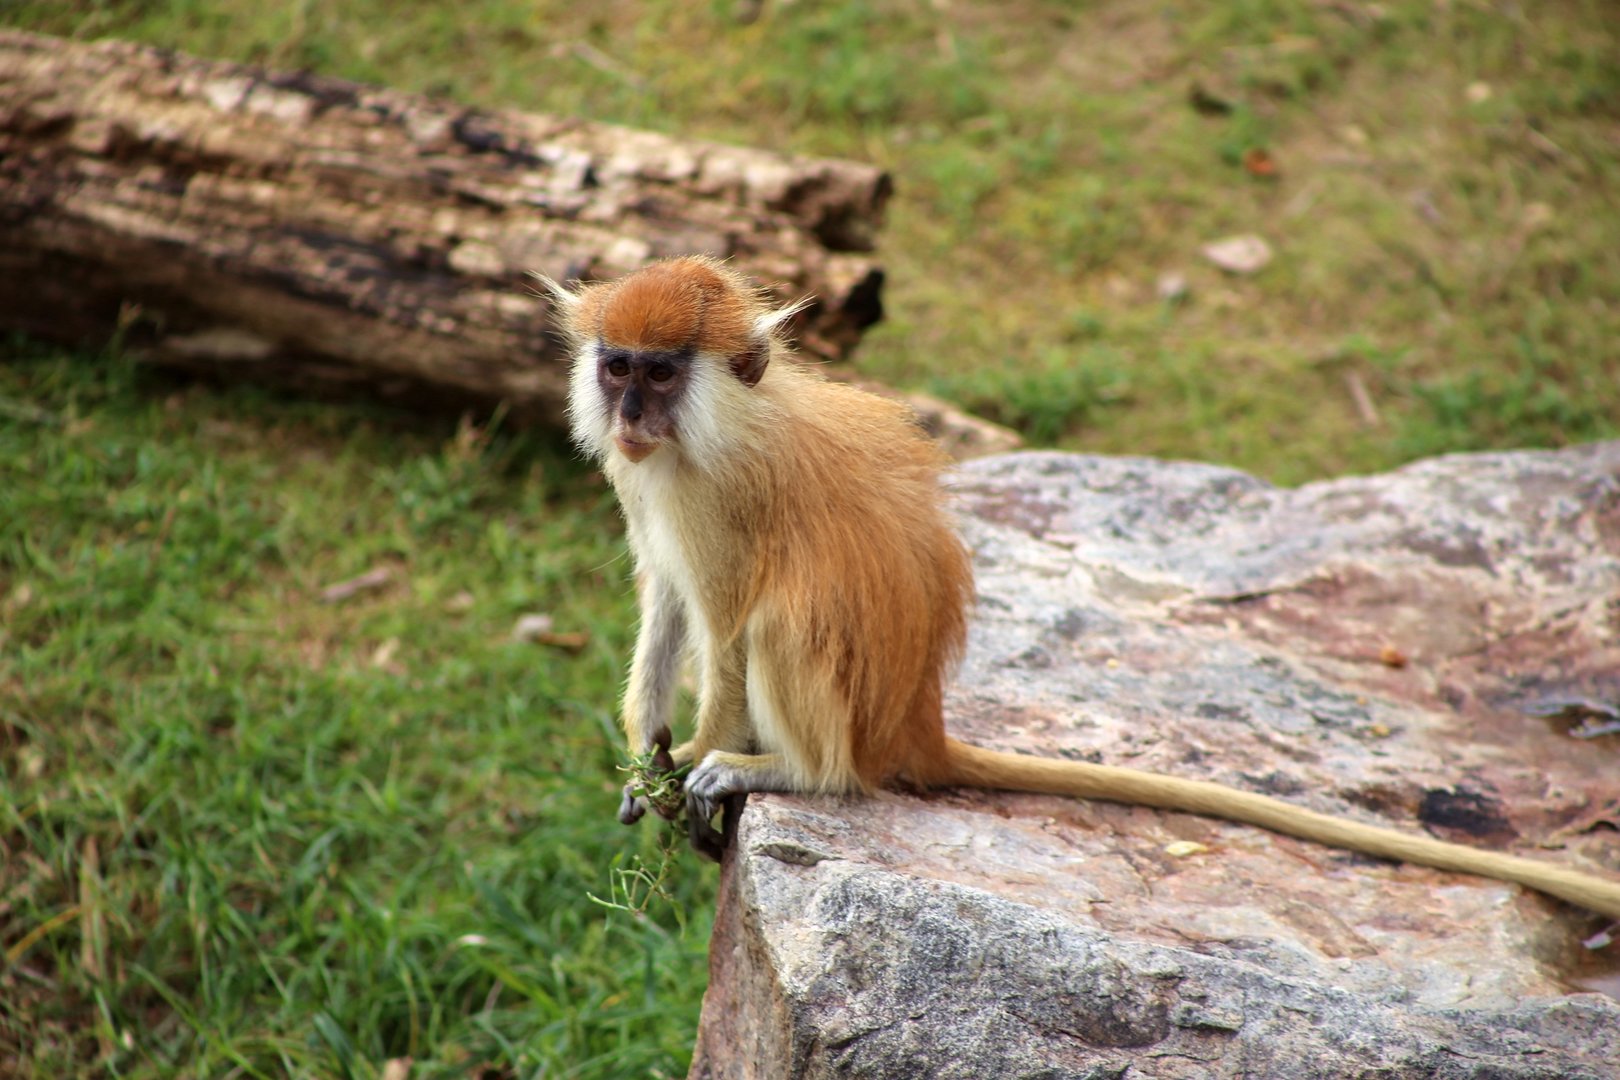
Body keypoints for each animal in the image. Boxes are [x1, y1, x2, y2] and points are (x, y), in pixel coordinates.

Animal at [538, 255, 1620, 921]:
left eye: (664, 374)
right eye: (618, 365)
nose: (630, 413)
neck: (714, 428)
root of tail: (912, 725)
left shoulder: (719, 503)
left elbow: (725, 632)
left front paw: (696, 766)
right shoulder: (650, 486)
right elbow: (665, 601)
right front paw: (645, 761)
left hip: (845, 707)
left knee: (783, 626)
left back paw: (801, 773)